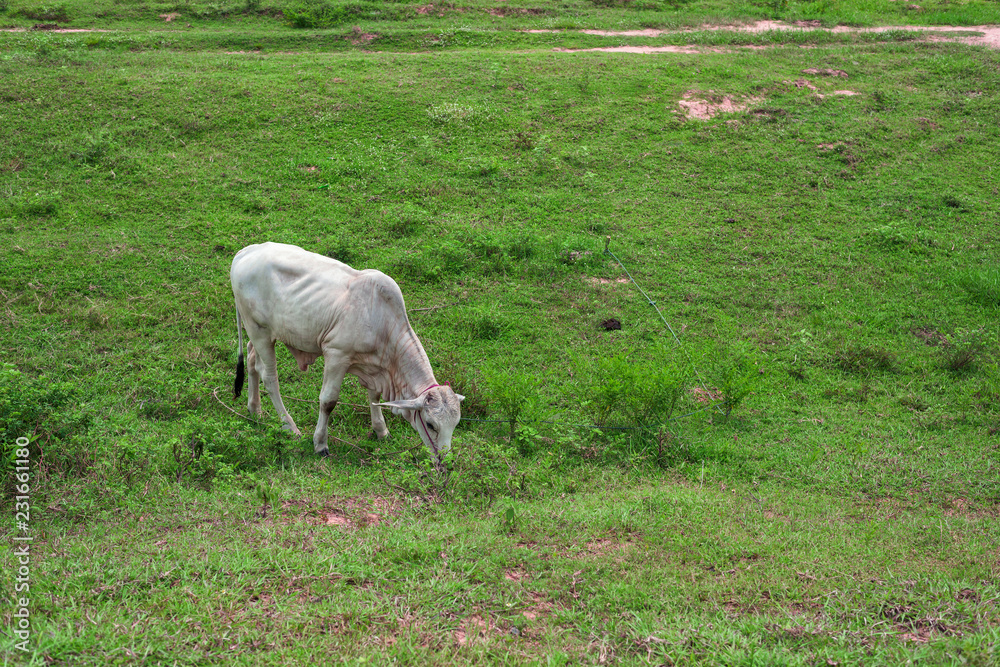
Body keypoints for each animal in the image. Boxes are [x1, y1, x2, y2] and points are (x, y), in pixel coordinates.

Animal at [230, 242, 464, 465]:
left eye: (455, 424)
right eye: (430, 424)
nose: (446, 461)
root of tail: (246, 251)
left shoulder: (373, 366)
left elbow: (374, 396)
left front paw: (381, 430)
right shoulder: (337, 355)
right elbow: (328, 401)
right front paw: (320, 444)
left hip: (259, 334)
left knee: (251, 359)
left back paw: (254, 409)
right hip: (260, 331)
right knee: (270, 378)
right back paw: (289, 426)